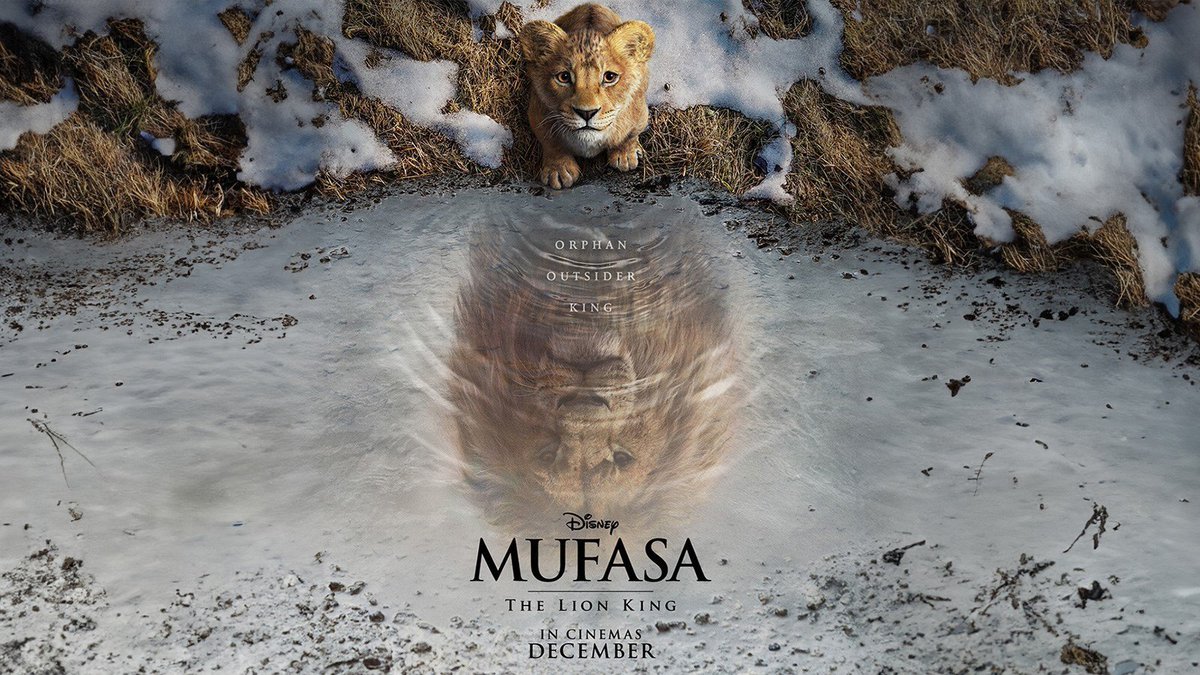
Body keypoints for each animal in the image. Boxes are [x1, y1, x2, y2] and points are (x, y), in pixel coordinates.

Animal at [519, 4, 655, 189]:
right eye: (564, 77)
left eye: (609, 77)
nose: (586, 113)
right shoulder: (537, 113)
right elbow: (551, 142)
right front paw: (559, 170)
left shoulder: (640, 113)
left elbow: (629, 135)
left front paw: (625, 155)